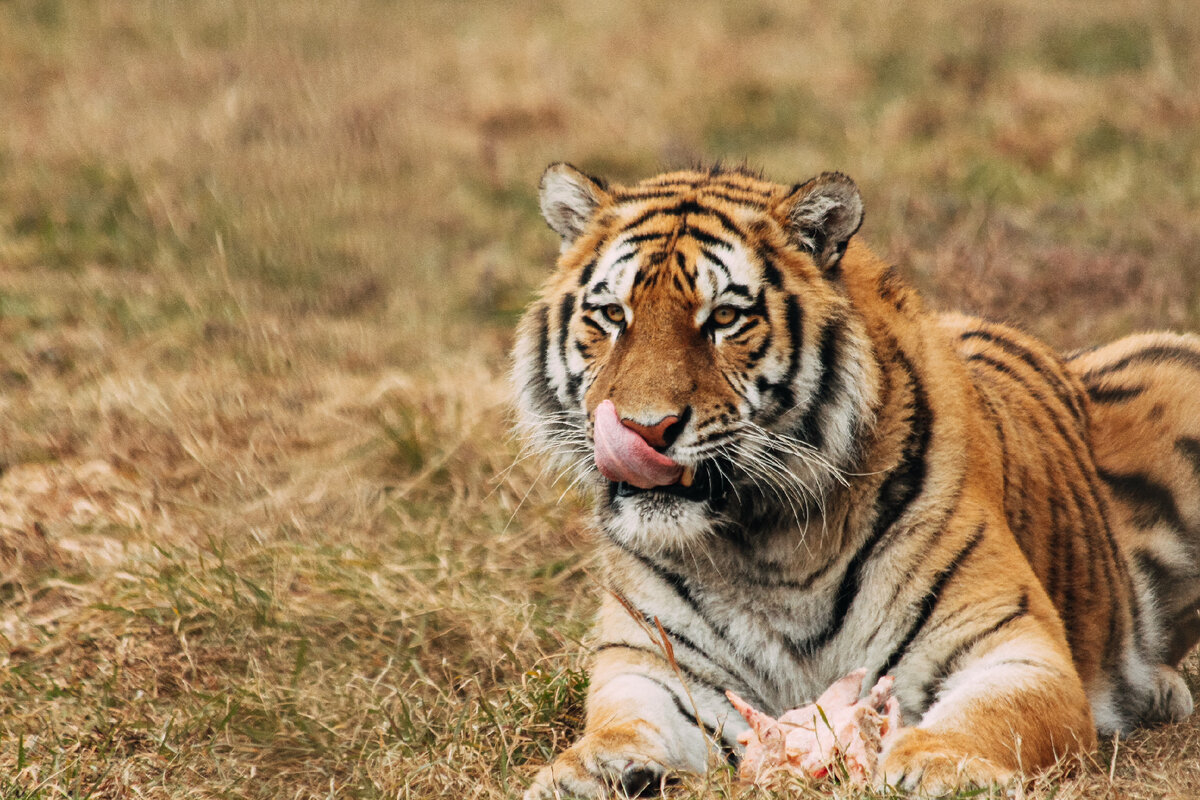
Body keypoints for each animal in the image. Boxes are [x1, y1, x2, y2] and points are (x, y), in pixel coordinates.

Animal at [513, 160, 1200, 796]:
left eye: (726, 318)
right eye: (611, 314)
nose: (644, 429)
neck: (762, 544)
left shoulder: (1011, 645)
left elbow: (986, 717)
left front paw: (935, 765)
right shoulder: (648, 664)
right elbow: (624, 724)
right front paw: (582, 771)